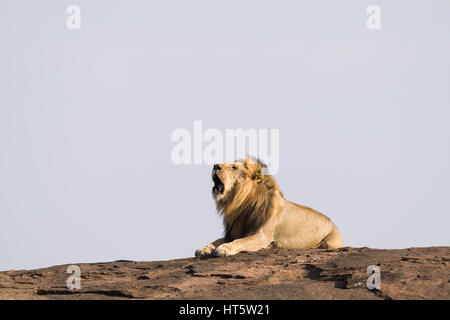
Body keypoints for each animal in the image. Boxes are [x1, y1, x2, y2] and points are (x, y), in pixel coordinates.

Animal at [195, 158, 342, 258]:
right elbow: (217, 240)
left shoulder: (262, 235)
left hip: (329, 242)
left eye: (234, 167)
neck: (240, 204)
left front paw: (224, 249)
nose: (215, 166)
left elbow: (241, 241)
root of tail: (334, 224)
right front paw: (204, 249)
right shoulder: (236, 231)